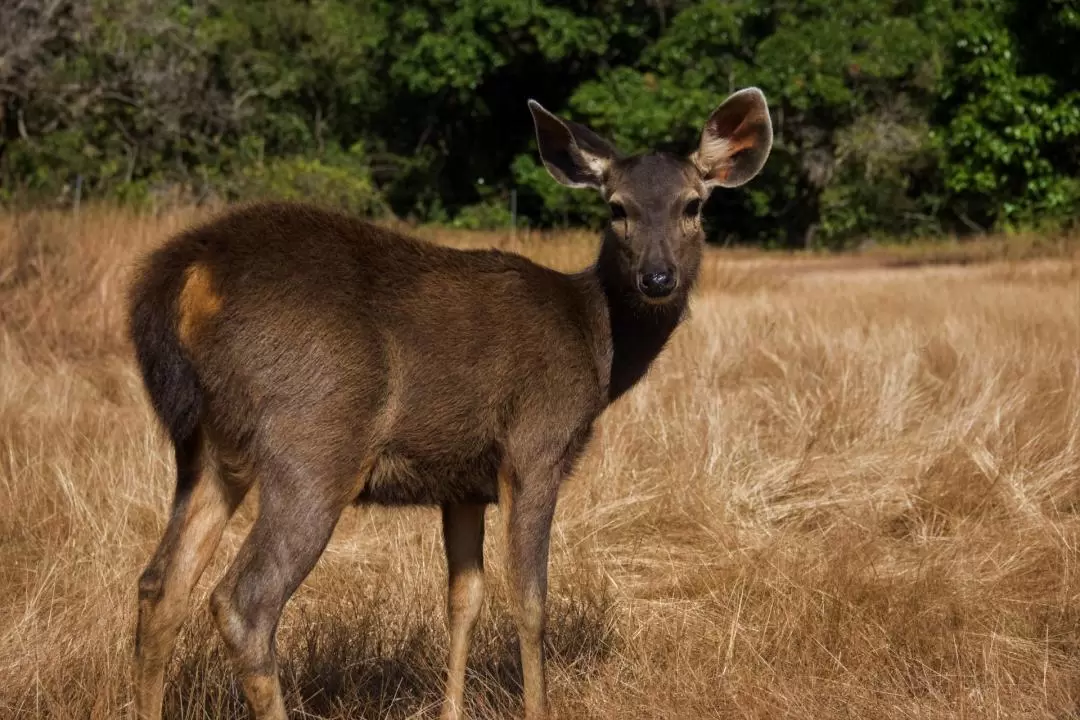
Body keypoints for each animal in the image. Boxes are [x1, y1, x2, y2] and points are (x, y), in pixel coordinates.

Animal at [128, 87, 768, 716]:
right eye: (617, 208)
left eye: (692, 205)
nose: (657, 279)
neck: (597, 344)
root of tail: (182, 276)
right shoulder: (536, 446)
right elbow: (529, 598)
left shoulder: (461, 483)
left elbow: (465, 597)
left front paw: (451, 707)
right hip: (313, 439)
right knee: (245, 601)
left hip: (206, 447)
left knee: (160, 586)